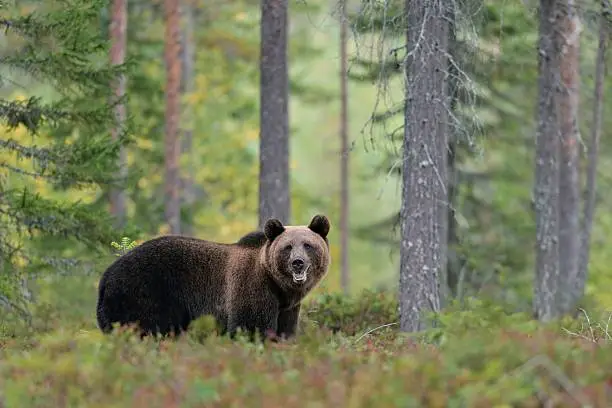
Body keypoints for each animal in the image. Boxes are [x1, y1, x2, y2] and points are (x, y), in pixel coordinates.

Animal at [94, 215, 330, 340]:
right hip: (143, 292)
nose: (297, 262)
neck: (280, 288)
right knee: (147, 329)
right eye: (288, 247)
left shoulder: (287, 307)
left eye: (308, 245)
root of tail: (106, 276)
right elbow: (251, 327)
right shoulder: (251, 287)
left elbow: (285, 331)